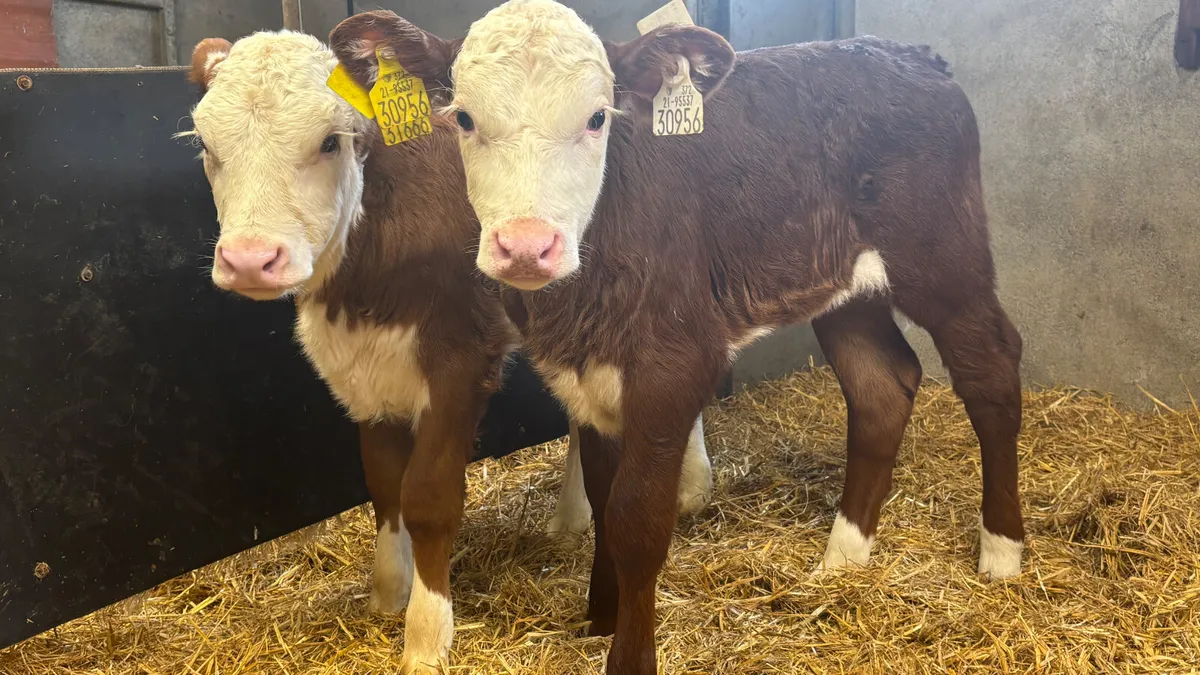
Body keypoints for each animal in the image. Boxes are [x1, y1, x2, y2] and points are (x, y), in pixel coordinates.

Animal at [183, 30, 713, 674]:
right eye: (206, 144)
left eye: (330, 141)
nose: (249, 259)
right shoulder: (365, 371)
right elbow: (383, 482)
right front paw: (389, 591)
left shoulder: (460, 357)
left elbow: (429, 497)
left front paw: (425, 634)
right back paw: (570, 517)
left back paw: (691, 485)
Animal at [331, 2, 1027, 673]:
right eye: (465, 119)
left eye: (597, 118)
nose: (526, 245)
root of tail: (912, 54)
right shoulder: (588, 373)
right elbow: (603, 497)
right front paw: (600, 618)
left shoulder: (675, 362)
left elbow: (637, 519)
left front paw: (628, 656)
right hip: (846, 288)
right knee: (881, 384)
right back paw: (845, 554)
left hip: (945, 260)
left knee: (991, 367)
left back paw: (1001, 552)